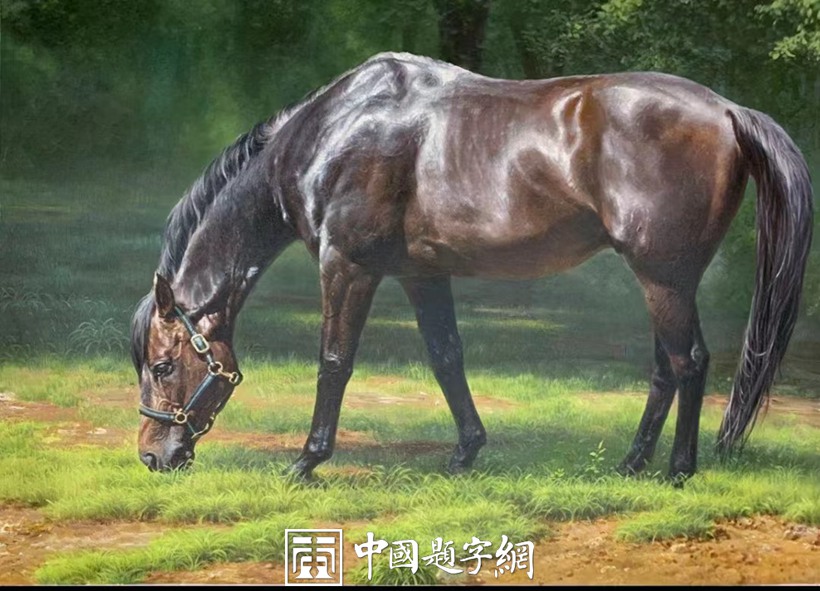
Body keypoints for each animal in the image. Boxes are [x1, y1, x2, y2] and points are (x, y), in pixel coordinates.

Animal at [130, 52, 813, 483]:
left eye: (163, 365)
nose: (153, 457)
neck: (335, 132)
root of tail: (726, 110)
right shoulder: (421, 274)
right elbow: (446, 357)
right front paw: (465, 453)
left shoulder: (347, 266)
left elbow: (334, 362)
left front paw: (306, 461)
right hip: (664, 283)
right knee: (667, 368)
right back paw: (631, 465)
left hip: (664, 278)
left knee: (687, 362)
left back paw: (677, 472)